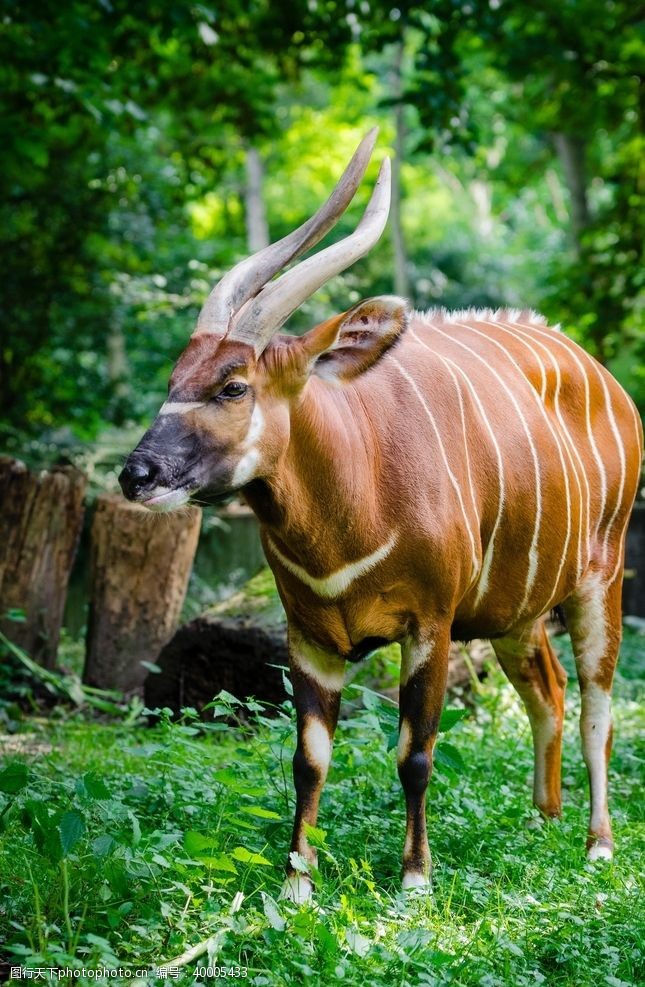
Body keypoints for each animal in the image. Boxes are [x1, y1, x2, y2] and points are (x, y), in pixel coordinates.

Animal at [121, 131, 644, 904]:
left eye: (233, 385)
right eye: (174, 379)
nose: (136, 474)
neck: (352, 508)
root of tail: (606, 378)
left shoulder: (429, 625)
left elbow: (415, 751)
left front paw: (415, 881)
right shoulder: (309, 635)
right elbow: (307, 757)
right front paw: (296, 886)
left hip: (598, 581)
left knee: (596, 707)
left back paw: (597, 846)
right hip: (515, 613)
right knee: (546, 691)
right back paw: (540, 822)